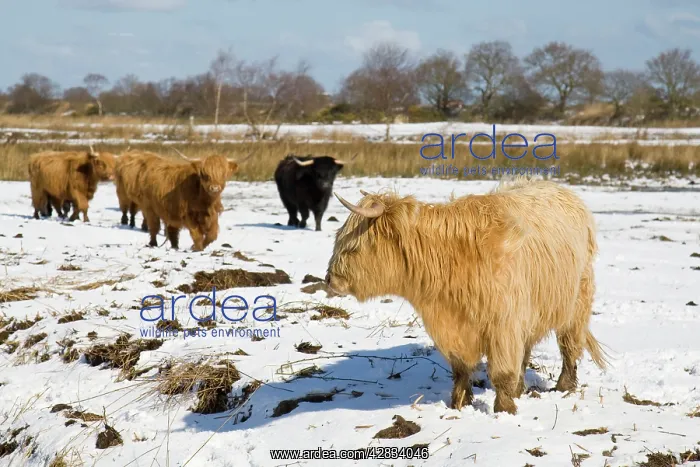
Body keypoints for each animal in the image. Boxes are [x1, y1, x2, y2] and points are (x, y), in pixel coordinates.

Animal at [325, 177, 608, 415]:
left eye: (352, 247)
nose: (329, 280)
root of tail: (563, 191)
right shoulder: (457, 329)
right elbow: (461, 369)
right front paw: (459, 403)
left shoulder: (503, 324)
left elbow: (502, 371)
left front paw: (504, 409)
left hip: (576, 301)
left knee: (570, 344)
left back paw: (564, 386)